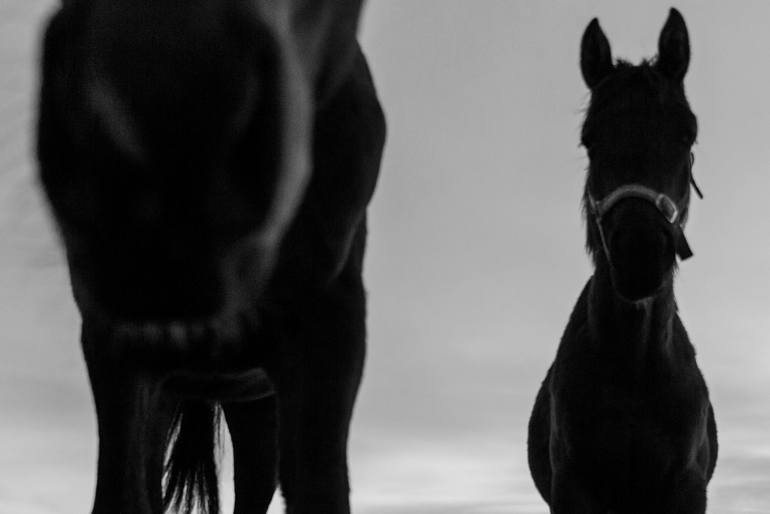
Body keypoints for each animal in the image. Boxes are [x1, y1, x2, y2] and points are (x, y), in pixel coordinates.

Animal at [36, 1, 385, 513]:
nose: (166, 97)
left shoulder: (329, 333)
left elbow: (321, 489)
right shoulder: (115, 346)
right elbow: (121, 494)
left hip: (257, 406)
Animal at [527, 9, 717, 513]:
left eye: (687, 134)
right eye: (589, 140)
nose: (639, 254)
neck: (634, 371)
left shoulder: (687, 489)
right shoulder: (572, 488)